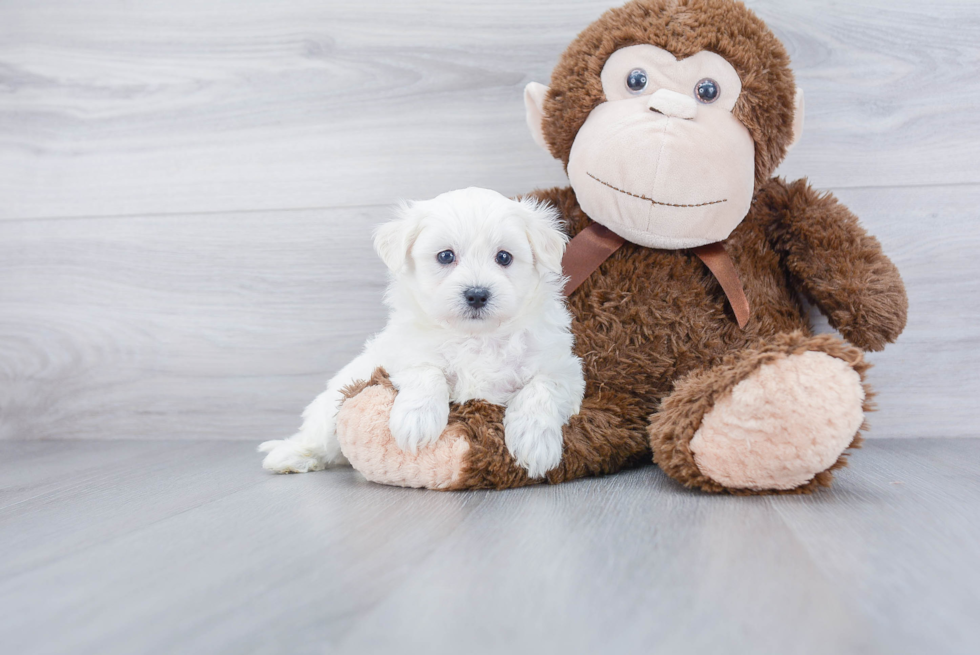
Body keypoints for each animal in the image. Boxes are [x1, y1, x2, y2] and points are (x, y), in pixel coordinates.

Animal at [256, 187, 584, 480]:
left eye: (504, 257)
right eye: (445, 256)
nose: (477, 294)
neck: (475, 337)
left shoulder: (563, 369)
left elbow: (540, 390)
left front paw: (535, 443)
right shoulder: (399, 354)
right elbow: (426, 371)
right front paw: (417, 421)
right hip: (330, 409)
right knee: (317, 439)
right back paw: (289, 456)